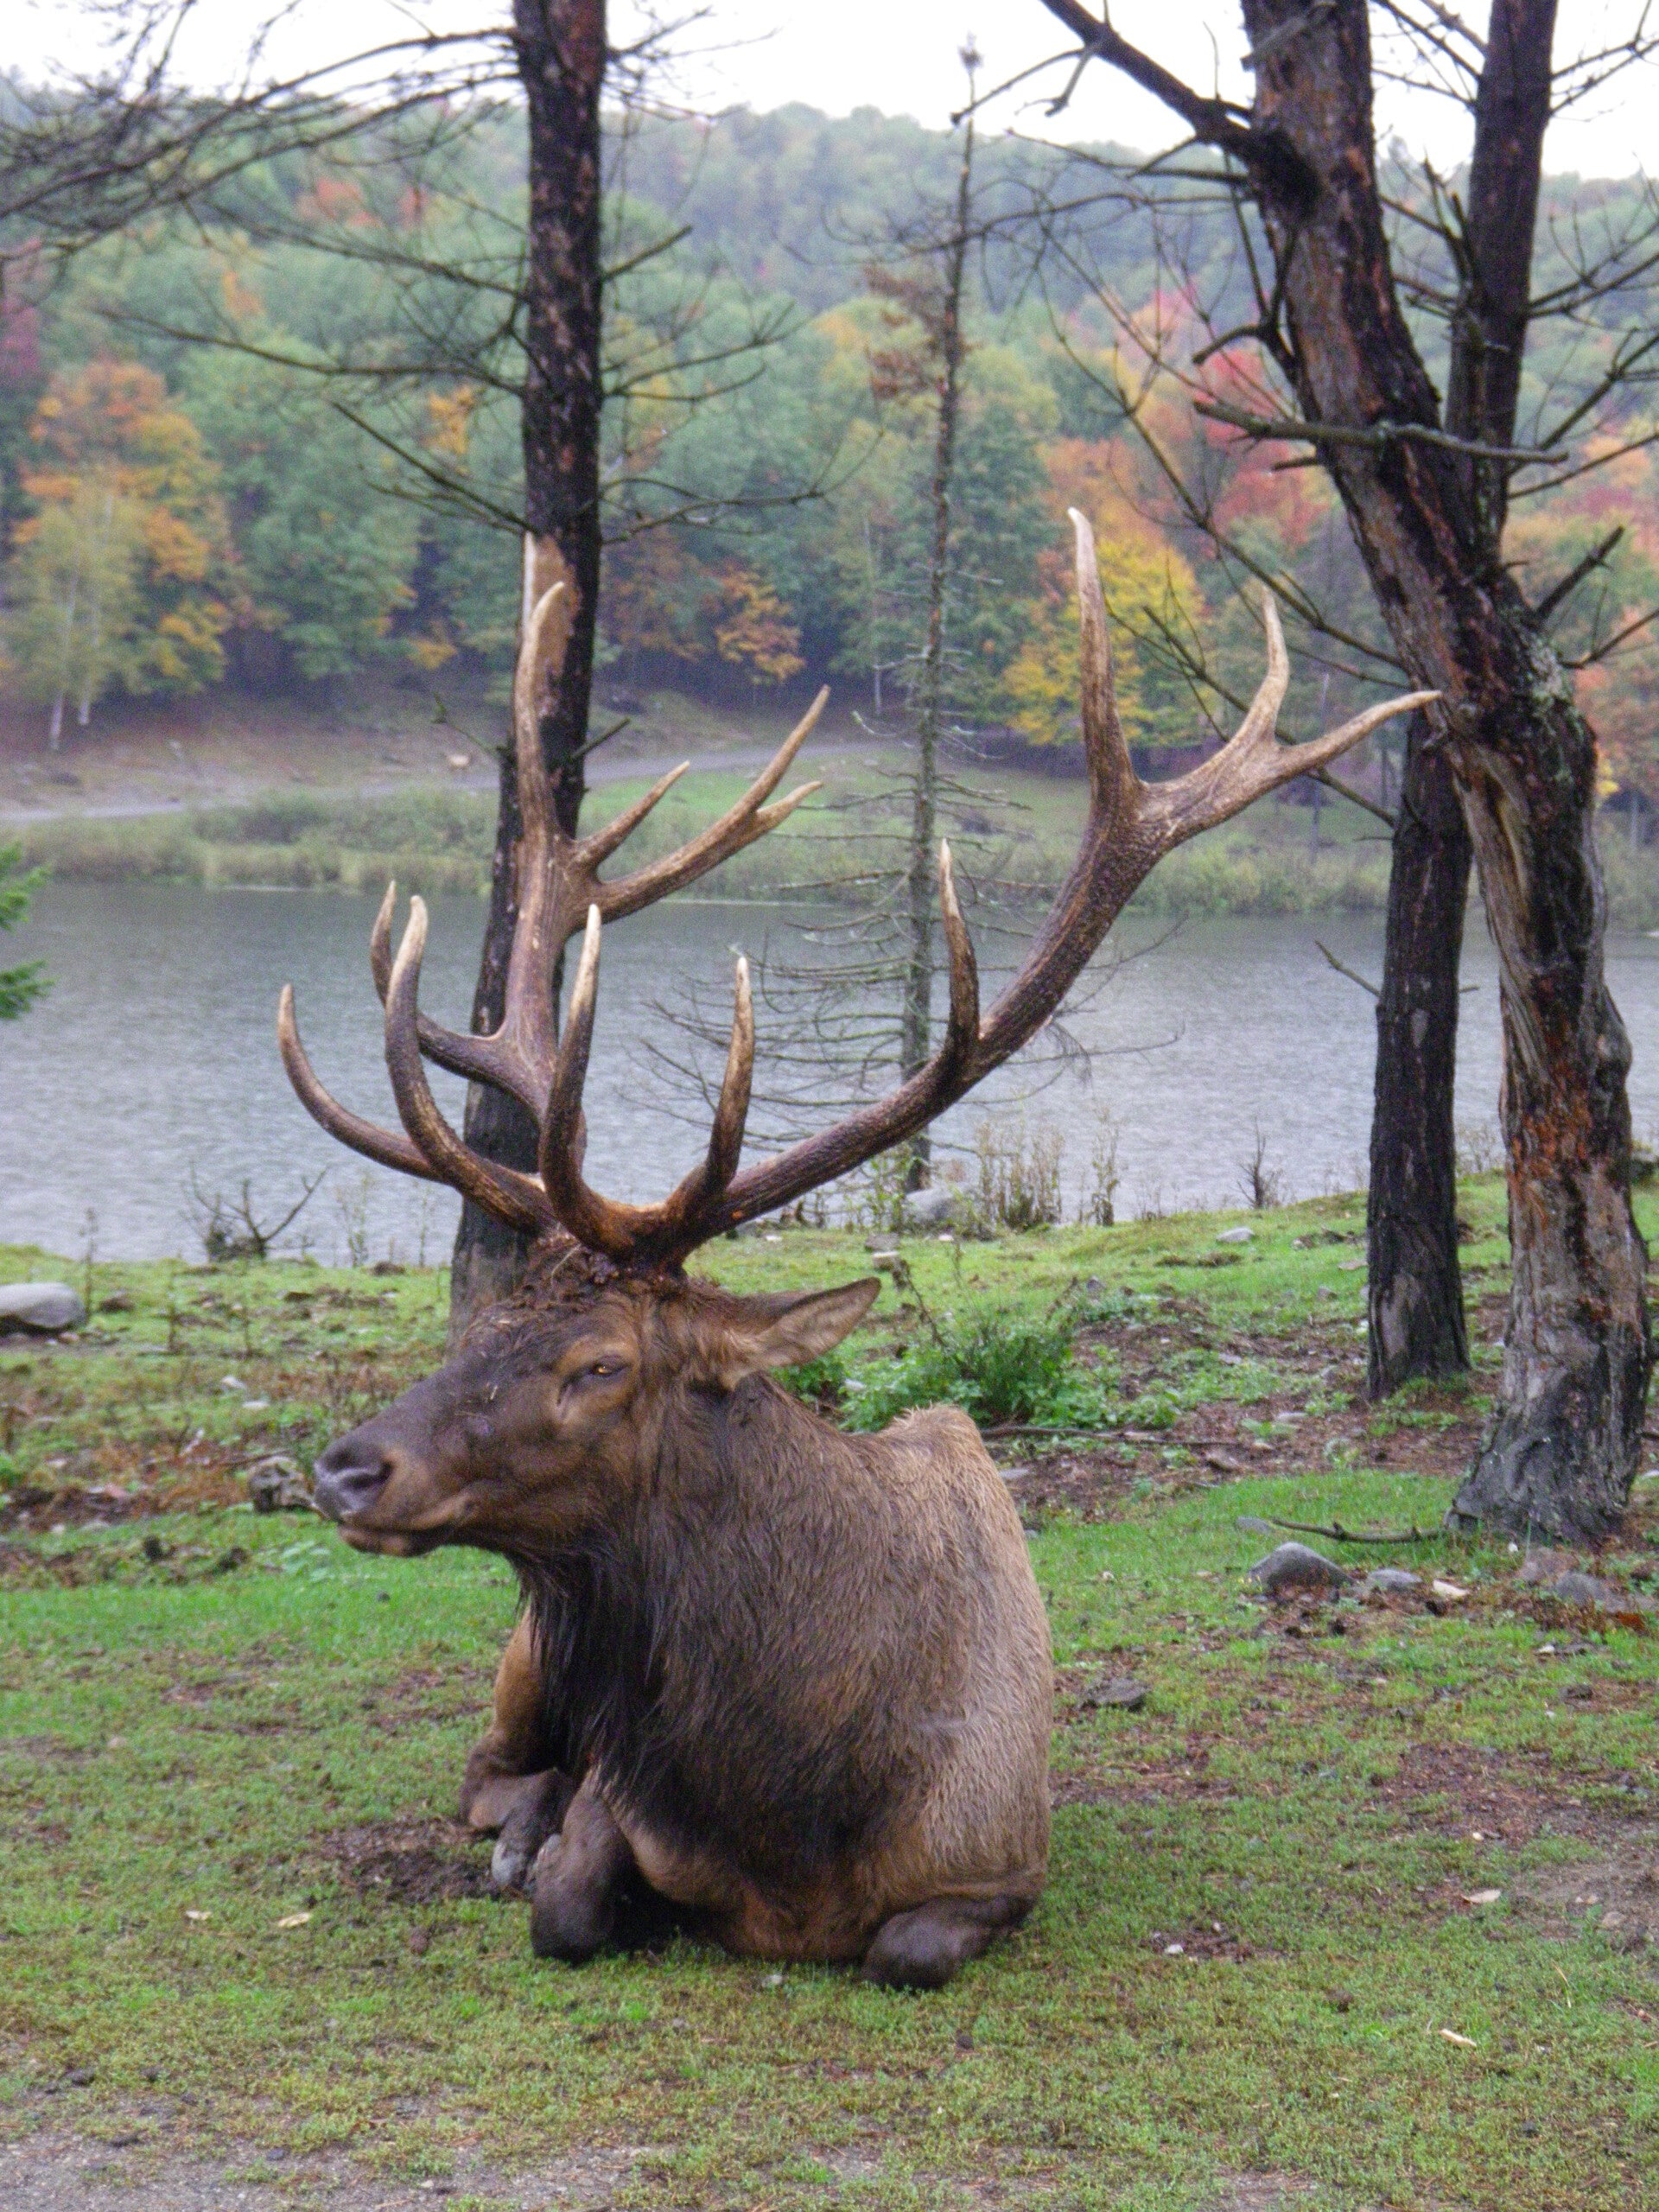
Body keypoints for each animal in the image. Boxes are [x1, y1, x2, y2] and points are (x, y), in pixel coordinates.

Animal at [278, 512, 1430, 1987]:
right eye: (475, 1320)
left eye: (599, 1366)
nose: (347, 1468)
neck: (798, 1810)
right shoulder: (614, 1796)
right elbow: (568, 1905)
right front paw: (546, 1861)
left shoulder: (1000, 1867)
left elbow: (905, 1949)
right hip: (522, 1656)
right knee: (485, 1774)